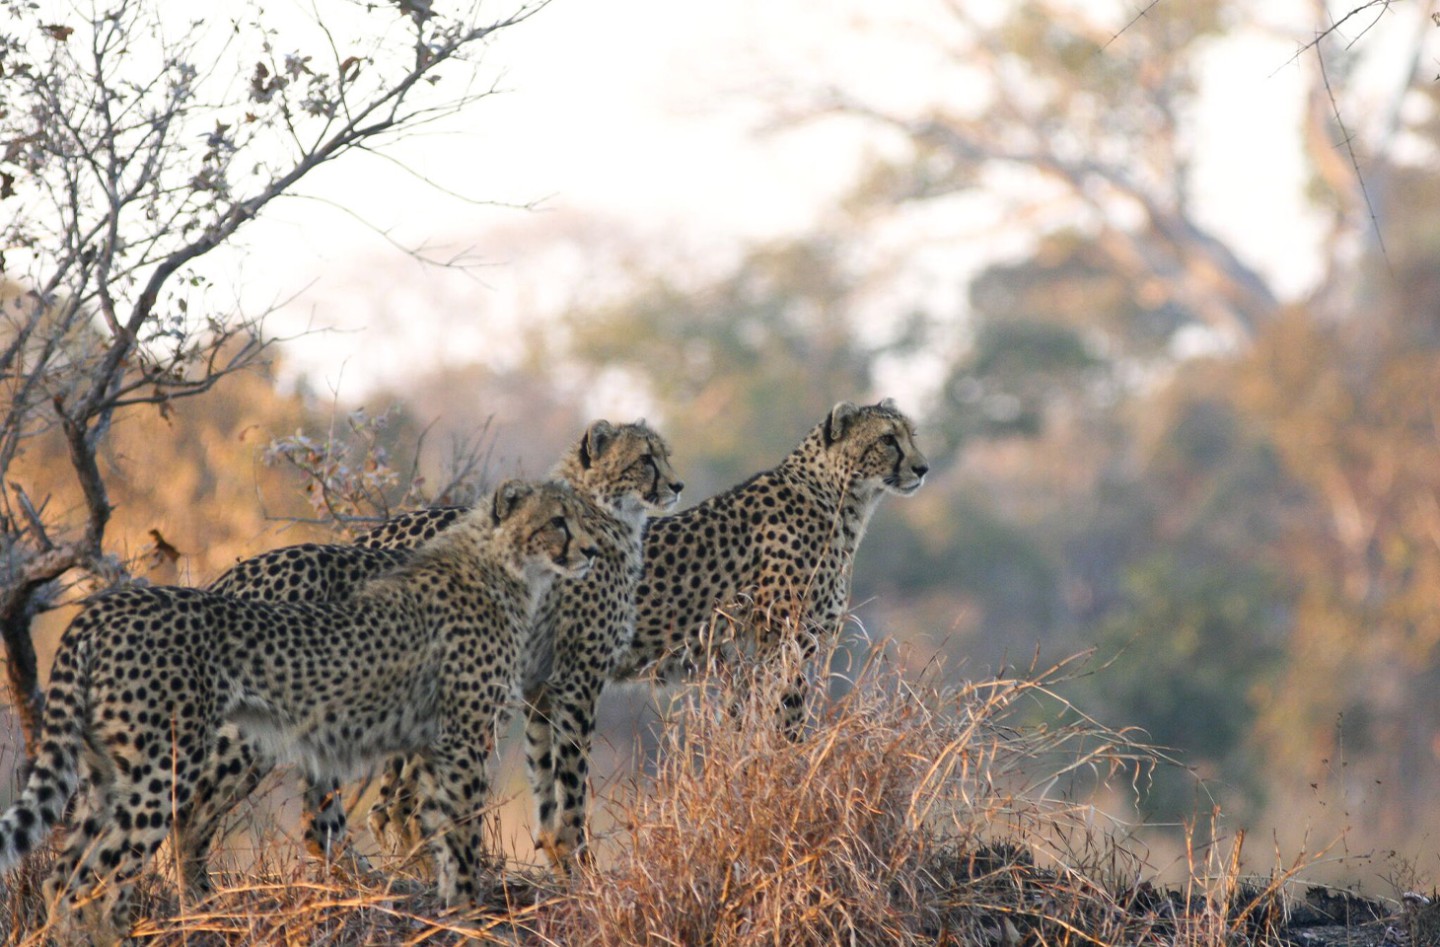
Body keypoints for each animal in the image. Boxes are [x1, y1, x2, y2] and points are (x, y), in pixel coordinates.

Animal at [0, 480, 599, 926]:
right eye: (558, 521)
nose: (592, 551)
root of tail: (102, 608)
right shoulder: (471, 735)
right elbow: (469, 826)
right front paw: (472, 912)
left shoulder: (447, 736)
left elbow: (435, 821)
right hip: (181, 758)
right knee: (118, 864)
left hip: (111, 769)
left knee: (66, 876)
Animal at [354, 420, 679, 869]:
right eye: (645, 459)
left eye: (664, 455)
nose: (677, 485)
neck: (602, 514)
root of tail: (375, 535)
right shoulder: (578, 680)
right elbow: (572, 775)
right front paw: (580, 860)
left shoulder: (538, 686)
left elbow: (542, 769)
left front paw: (555, 851)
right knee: (398, 803)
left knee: (386, 805)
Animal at [613, 397, 927, 731]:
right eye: (887, 439)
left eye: (912, 435)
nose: (923, 468)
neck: (838, 501)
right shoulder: (782, 647)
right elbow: (785, 722)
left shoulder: (744, 663)